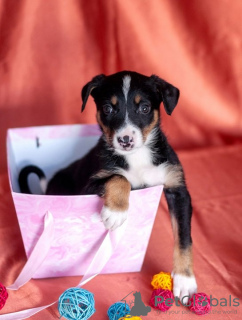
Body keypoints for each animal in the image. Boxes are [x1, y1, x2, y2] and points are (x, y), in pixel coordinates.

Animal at [18, 70, 197, 302]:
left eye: (145, 108)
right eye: (108, 109)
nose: (125, 140)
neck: (136, 156)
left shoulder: (178, 189)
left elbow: (184, 238)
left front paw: (185, 280)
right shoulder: (89, 185)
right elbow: (120, 178)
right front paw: (116, 212)